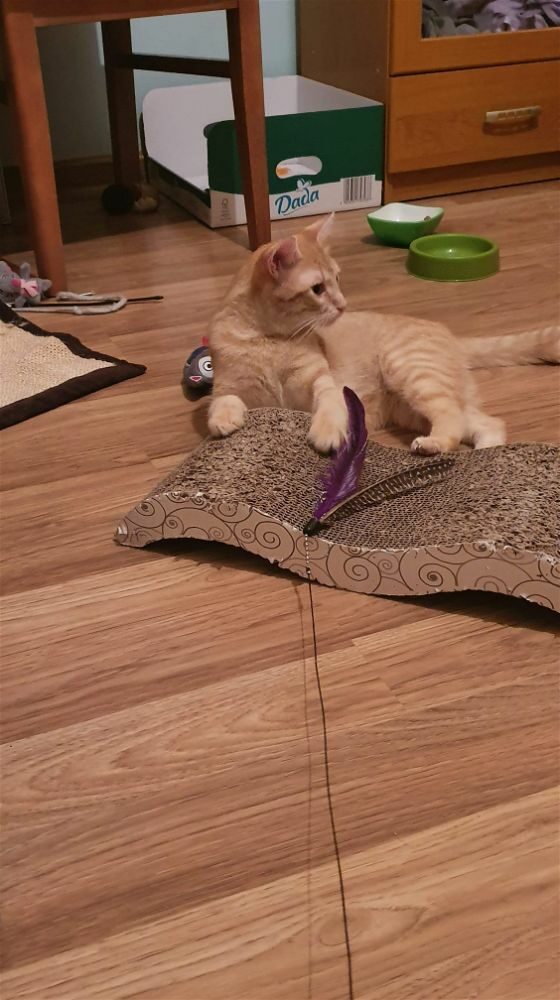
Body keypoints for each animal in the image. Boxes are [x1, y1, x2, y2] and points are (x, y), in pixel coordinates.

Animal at [207, 214, 559, 455]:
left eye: (337, 280)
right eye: (318, 289)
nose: (343, 305)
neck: (269, 339)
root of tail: (449, 333)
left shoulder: (324, 383)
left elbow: (329, 406)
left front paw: (327, 433)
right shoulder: (228, 386)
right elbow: (221, 403)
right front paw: (223, 421)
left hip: (412, 373)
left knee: (453, 420)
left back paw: (434, 444)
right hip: (415, 404)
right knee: (483, 422)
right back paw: (486, 455)